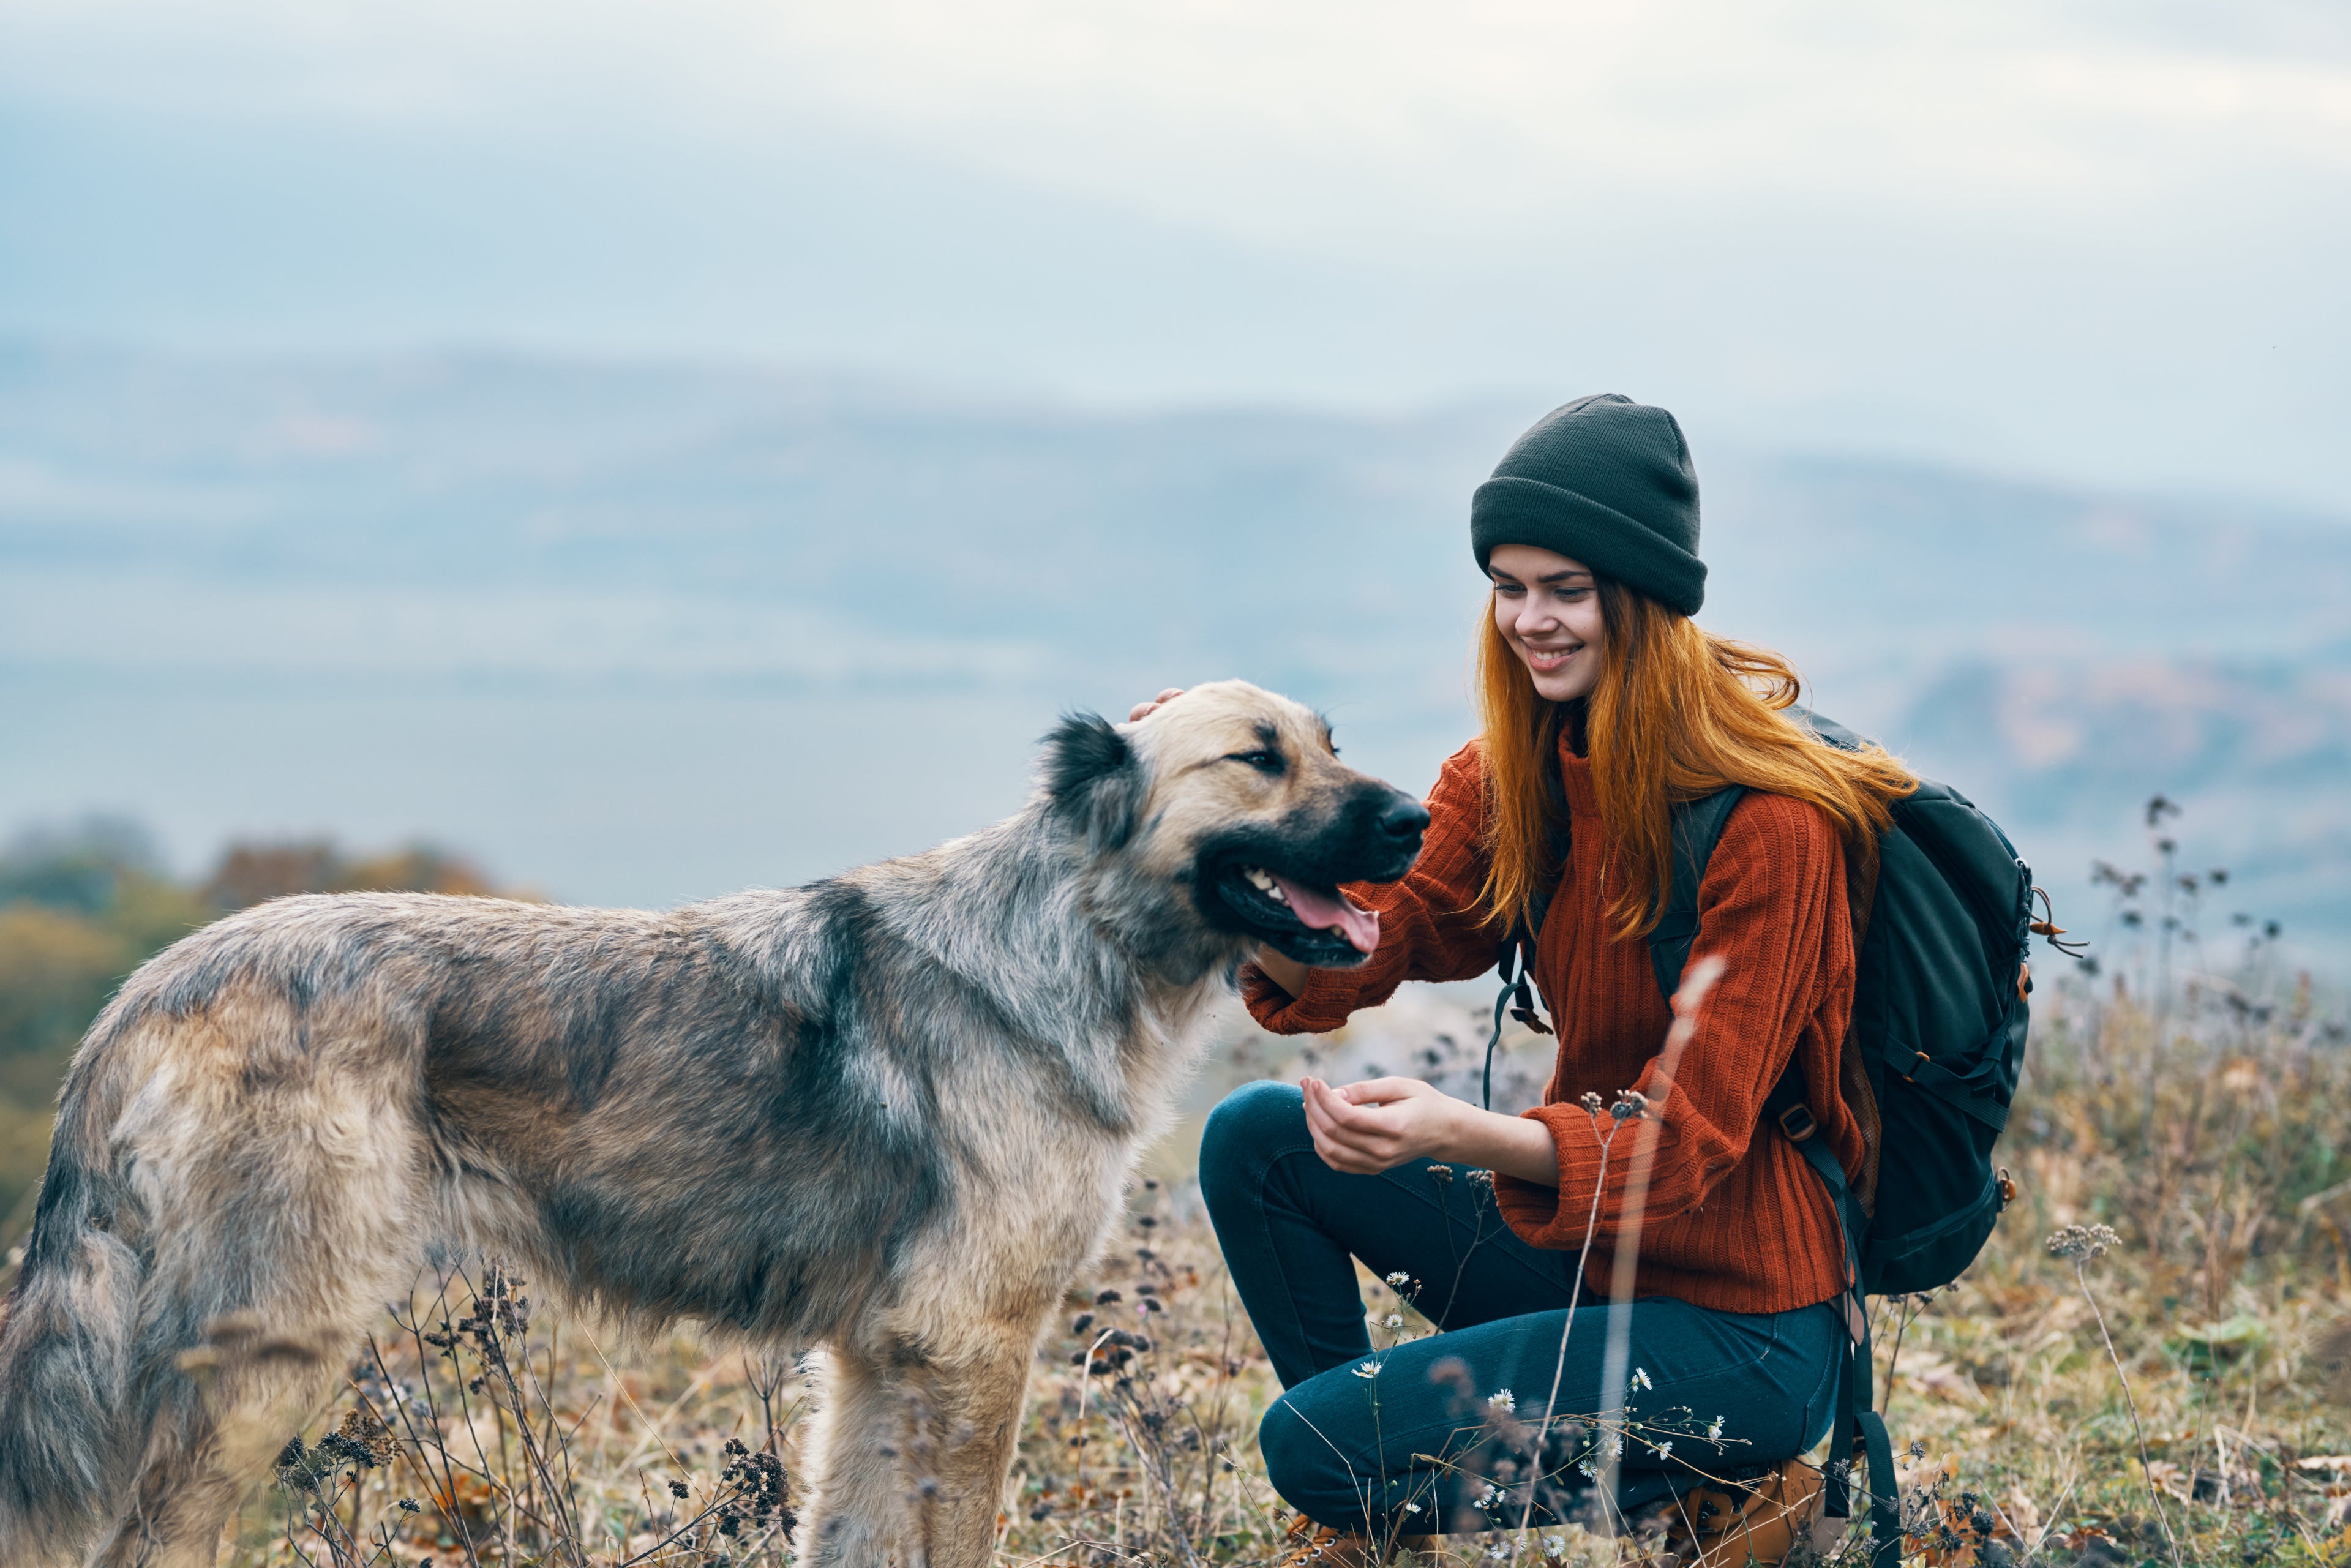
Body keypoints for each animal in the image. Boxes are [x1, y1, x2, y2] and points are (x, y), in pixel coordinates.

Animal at [0, 681, 1429, 1568]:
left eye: (1330, 740)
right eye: (1259, 757)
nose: (1418, 819)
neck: (1066, 934)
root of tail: (148, 989)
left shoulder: (884, 1360)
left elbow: (854, 1534)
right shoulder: (972, 1346)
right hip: (264, 1351)